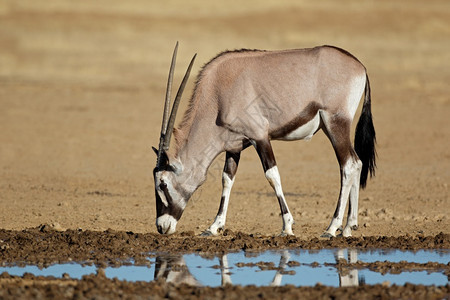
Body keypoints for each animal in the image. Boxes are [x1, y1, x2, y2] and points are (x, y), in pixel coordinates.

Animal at [153, 43, 374, 238]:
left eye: (162, 184)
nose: (162, 227)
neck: (218, 95)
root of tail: (360, 67)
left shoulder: (260, 136)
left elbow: (272, 175)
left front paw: (287, 226)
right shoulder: (234, 145)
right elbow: (227, 178)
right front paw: (214, 227)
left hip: (335, 124)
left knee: (348, 165)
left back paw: (332, 227)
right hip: (332, 128)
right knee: (357, 163)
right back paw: (349, 227)